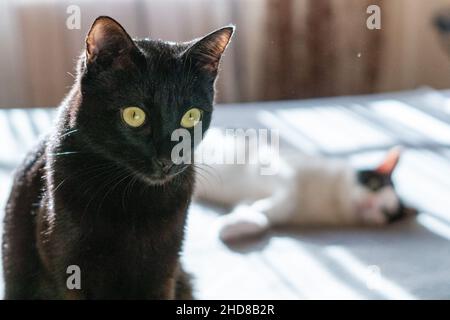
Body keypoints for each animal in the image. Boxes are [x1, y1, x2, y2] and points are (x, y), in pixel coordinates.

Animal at [2, 15, 236, 300]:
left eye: (191, 116)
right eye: (134, 115)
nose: (167, 160)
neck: (131, 198)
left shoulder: (164, 273)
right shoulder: (69, 274)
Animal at [195, 129, 414, 241]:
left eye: (385, 212)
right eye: (374, 185)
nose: (370, 205)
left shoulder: (249, 198)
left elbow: (260, 217)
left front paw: (235, 223)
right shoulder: (274, 163)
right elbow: (291, 193)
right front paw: (261, 209)